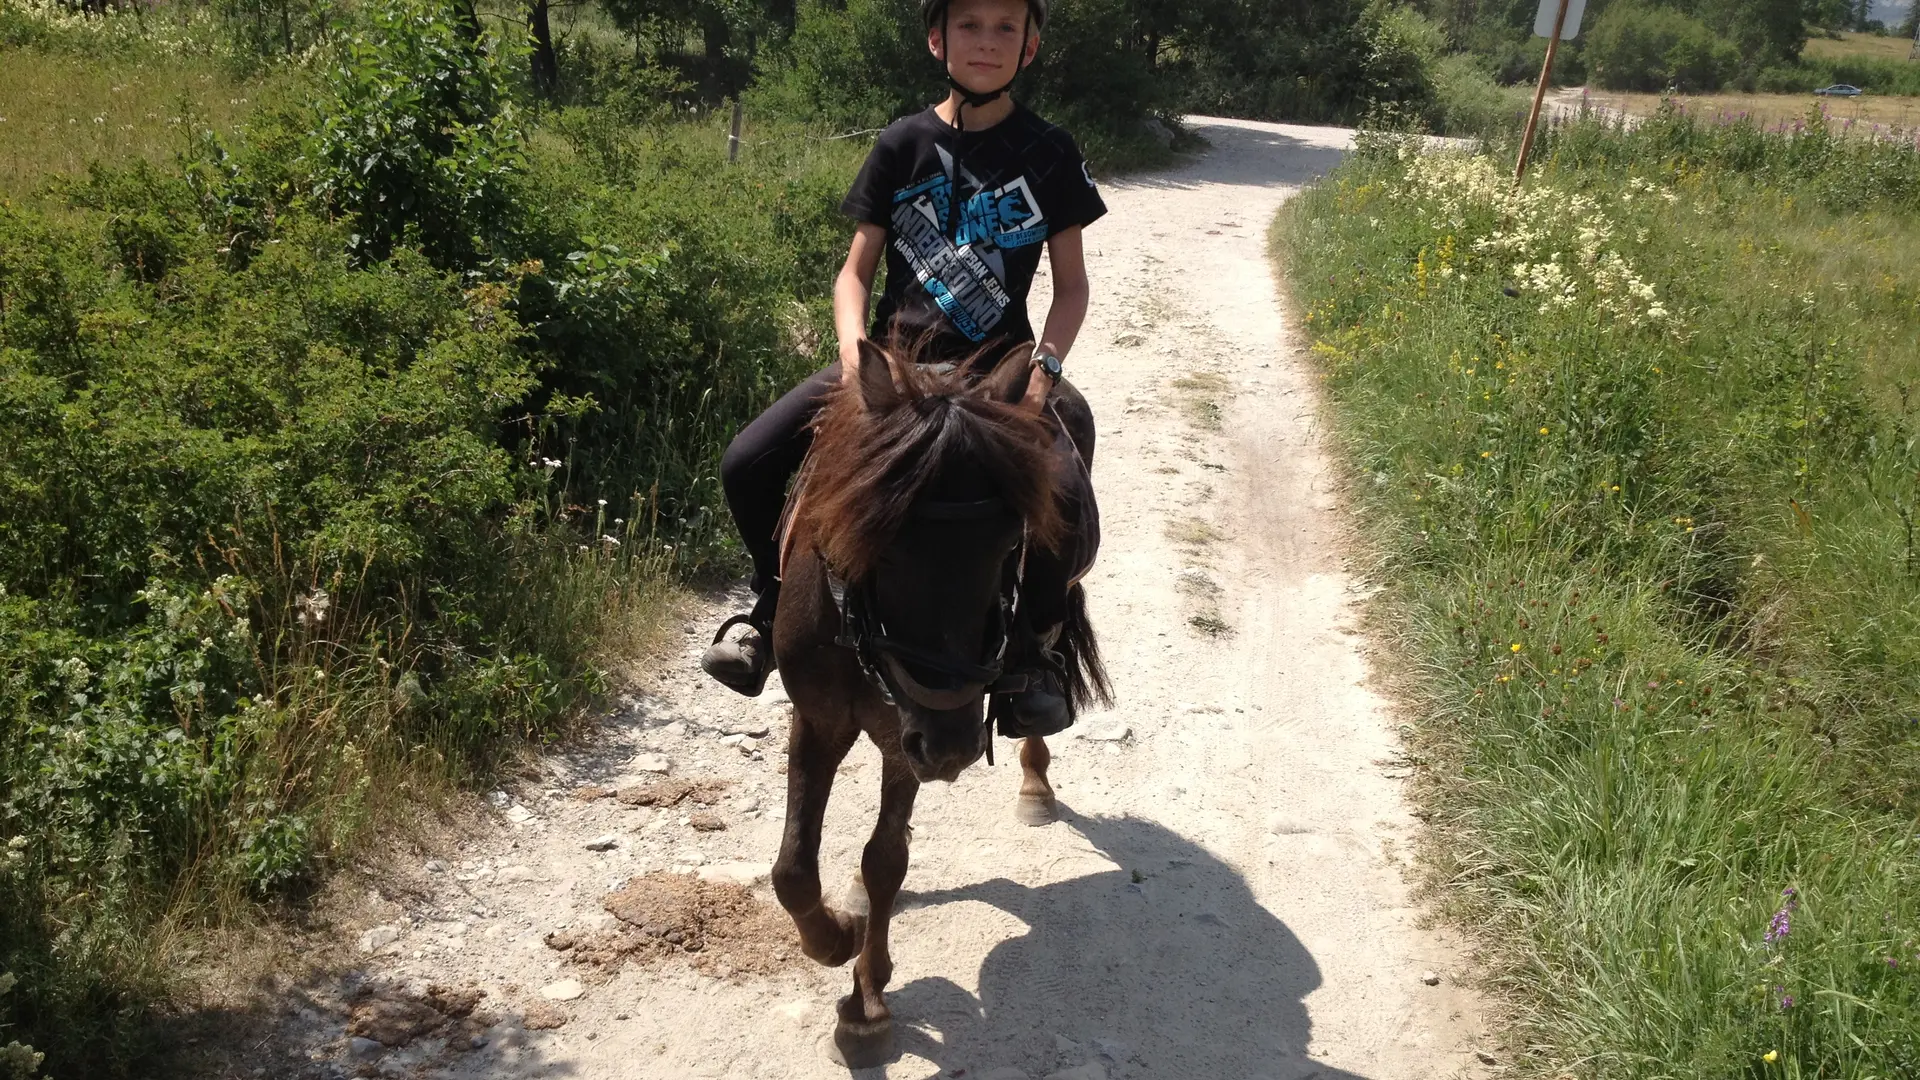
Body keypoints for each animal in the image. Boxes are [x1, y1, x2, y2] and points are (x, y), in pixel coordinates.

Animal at [769, 337, 1110, 1068]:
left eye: (1011, 545)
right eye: (882, 550)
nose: (954, 748)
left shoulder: (905, 735)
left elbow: (883, 860)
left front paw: (866, 1001)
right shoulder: (821, 718)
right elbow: (793, 869)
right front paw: (835, 938)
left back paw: (1035, 782)